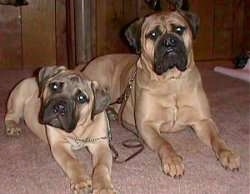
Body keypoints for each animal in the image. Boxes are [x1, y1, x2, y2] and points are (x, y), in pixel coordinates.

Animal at [81, 9, 240, 178]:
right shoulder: (147, 125)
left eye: (179, 29)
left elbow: (217, 138)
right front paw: (173, 160)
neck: (171, 82)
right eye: (153, 34)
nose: (169, 41)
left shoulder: (203, 121)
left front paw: (228, 154)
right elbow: (164, 142)